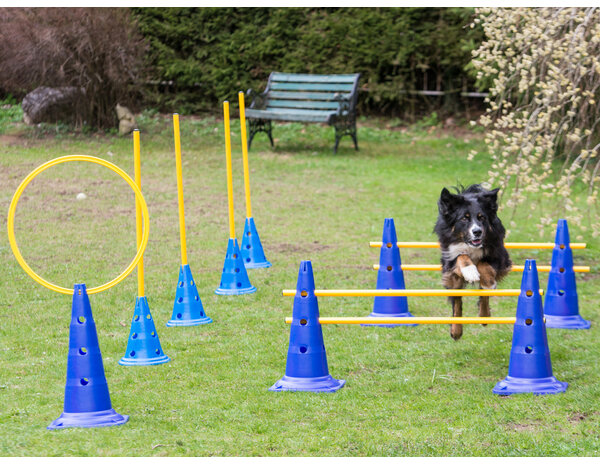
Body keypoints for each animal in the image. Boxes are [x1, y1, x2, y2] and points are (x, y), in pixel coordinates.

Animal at [434, 183, 512, 338]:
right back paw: (456, 330)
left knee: (483, 295)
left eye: (482, 218)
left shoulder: (500, 254)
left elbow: (484, 263)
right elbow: (461, 256)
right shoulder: (449, 259)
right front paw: (470, 271)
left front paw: (487, 281)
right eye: (464, 218)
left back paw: (484, 315)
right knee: (457, 301)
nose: (477, 232)